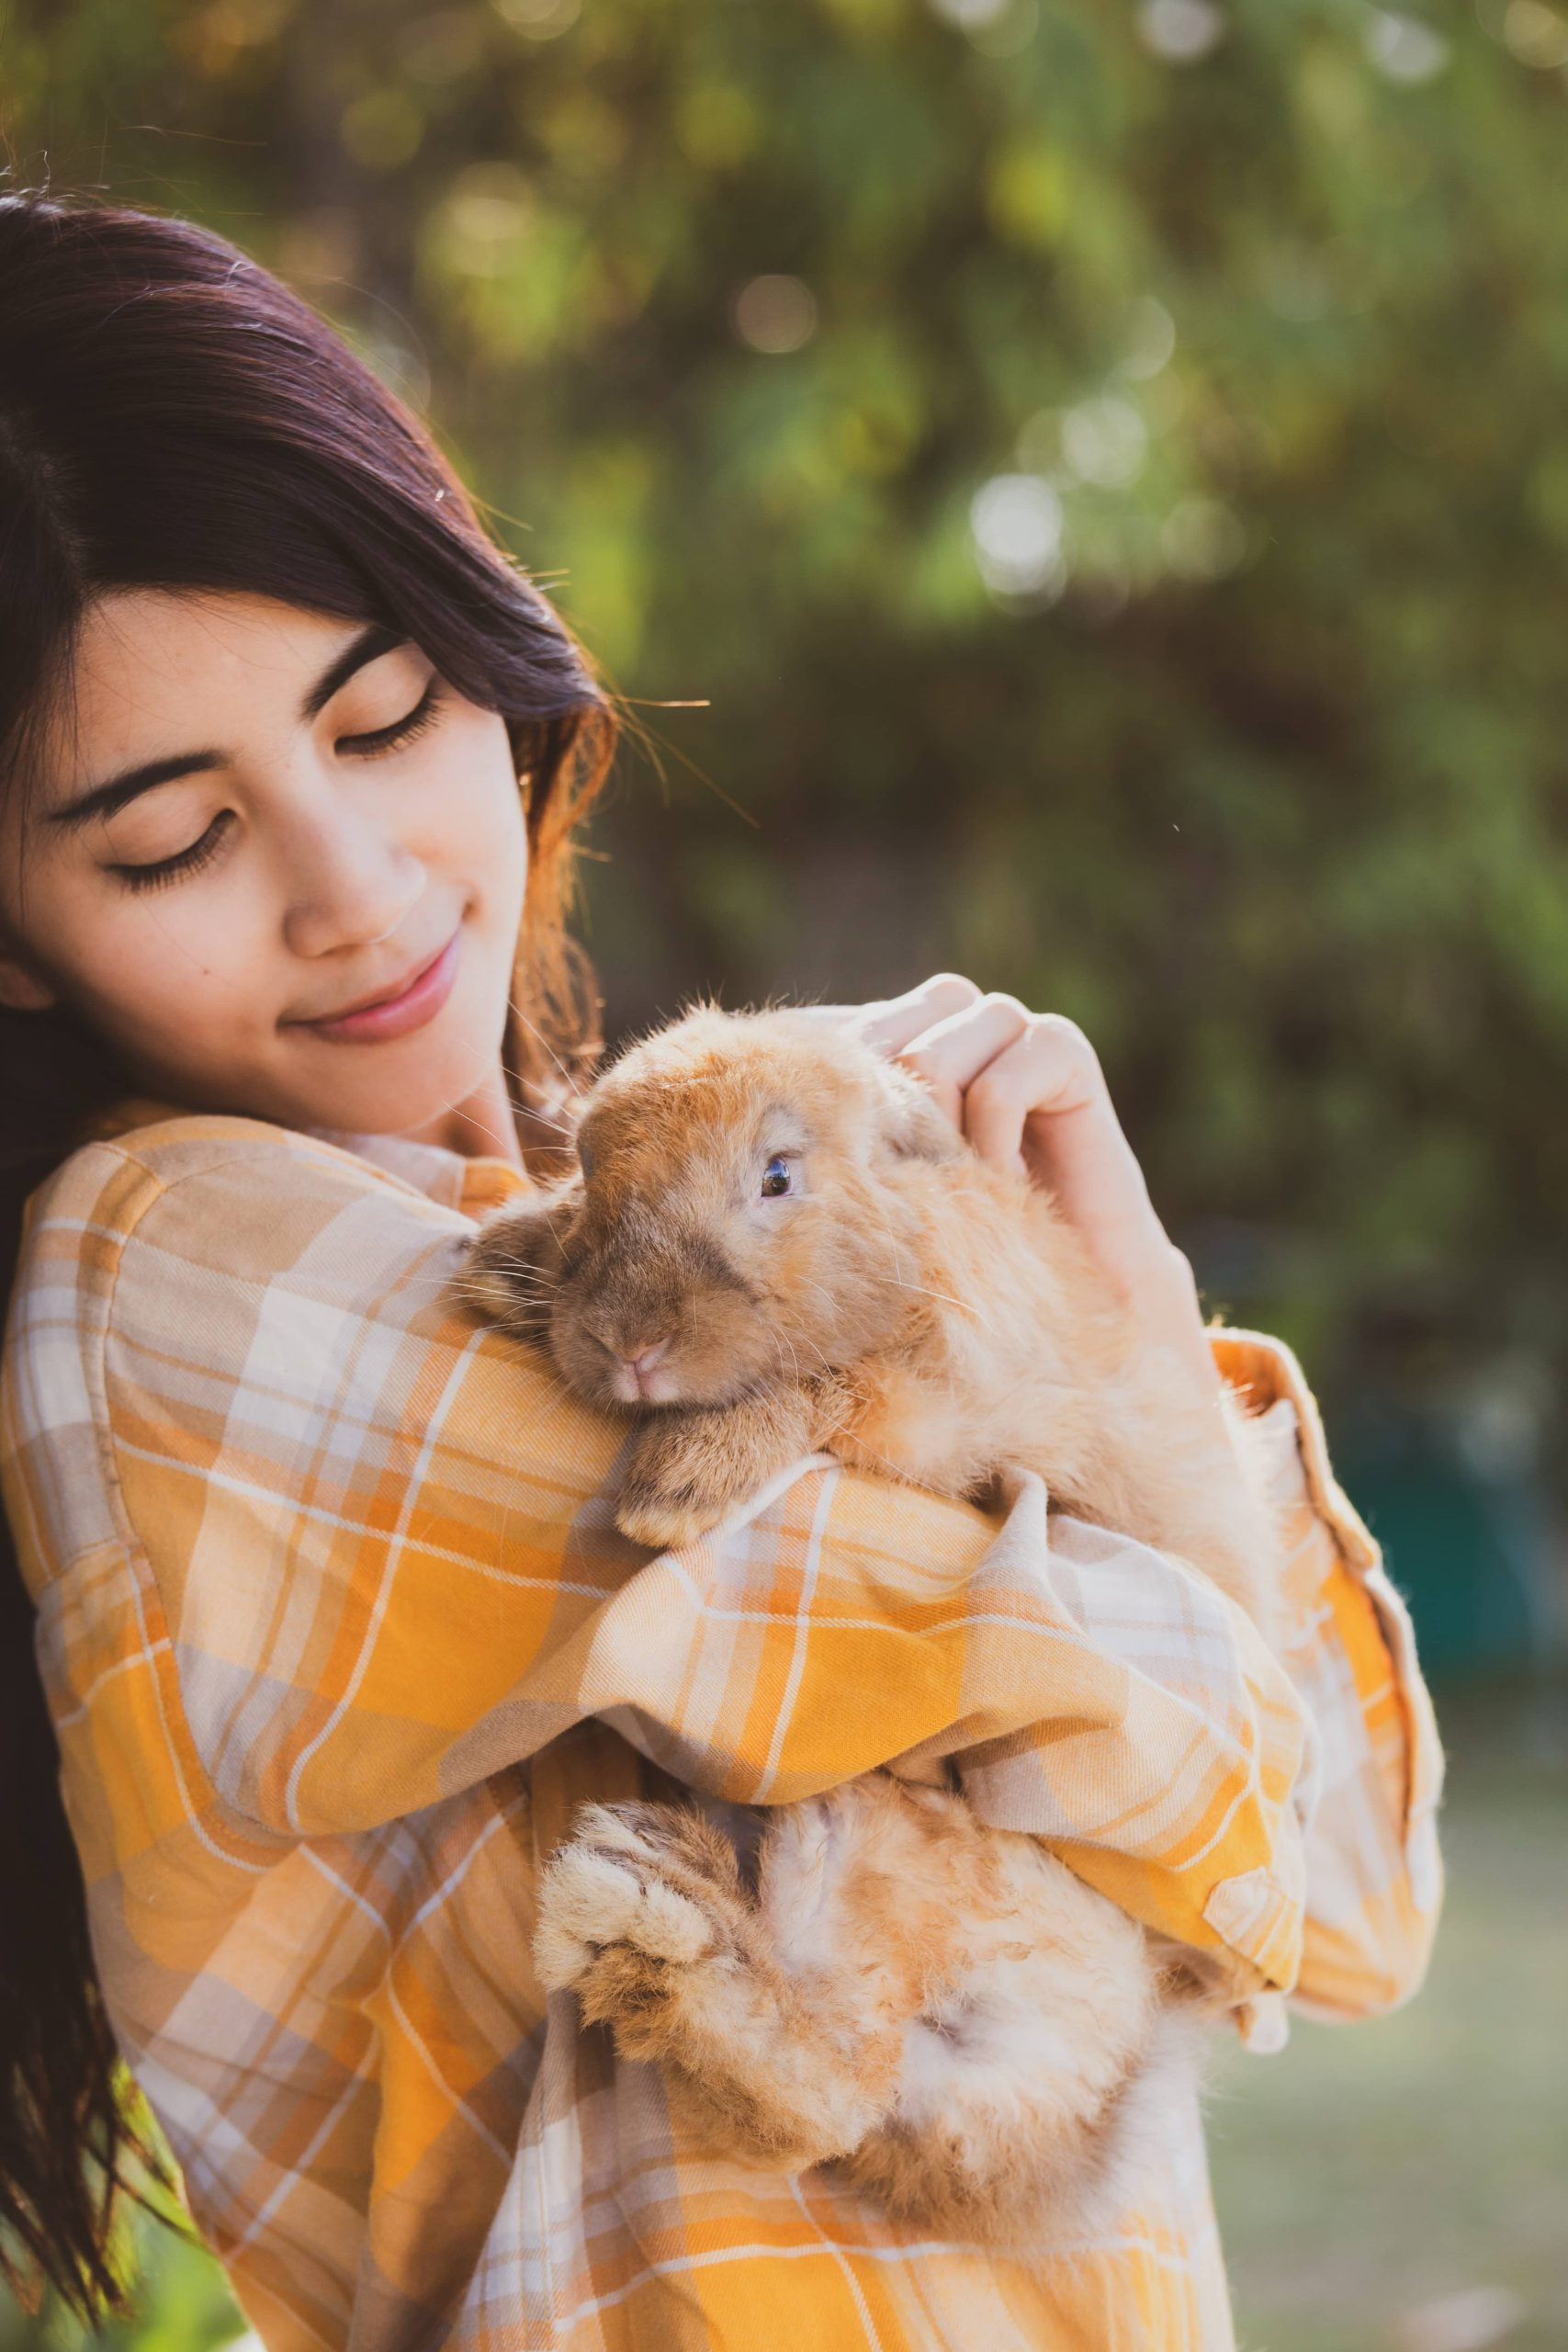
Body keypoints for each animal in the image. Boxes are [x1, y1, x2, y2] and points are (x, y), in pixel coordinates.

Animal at [456, 1006, 1288, 2239]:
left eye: (777, 1175)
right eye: (595, 1171)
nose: (629, 1343)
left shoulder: (944, 1407)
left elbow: (827, 1392)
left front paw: (679, 1487)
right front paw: (503, 1259)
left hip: (873, 1835)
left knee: (835, 2079)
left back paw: (648, 1901)